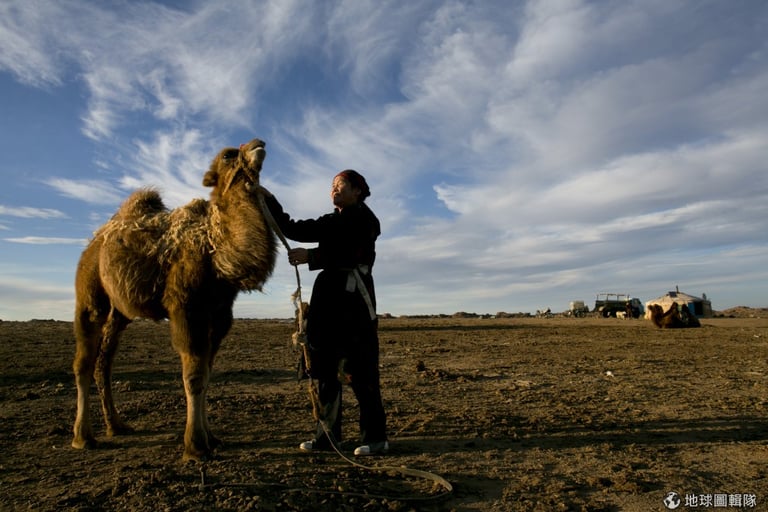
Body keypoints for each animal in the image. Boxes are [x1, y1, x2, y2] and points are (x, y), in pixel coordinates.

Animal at [70, 137, 278, 460]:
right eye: (228, 154)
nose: (259, 143)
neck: (214, 249)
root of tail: (95, 239)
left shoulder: (220, 314)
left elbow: (206, 373)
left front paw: (211, 438)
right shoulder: (185, 308)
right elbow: (193, 375)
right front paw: (195, 446)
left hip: (120, 312)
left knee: (104, 361)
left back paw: (116, 425)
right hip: (90, 293)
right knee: (84, 361)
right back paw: (83, 437)